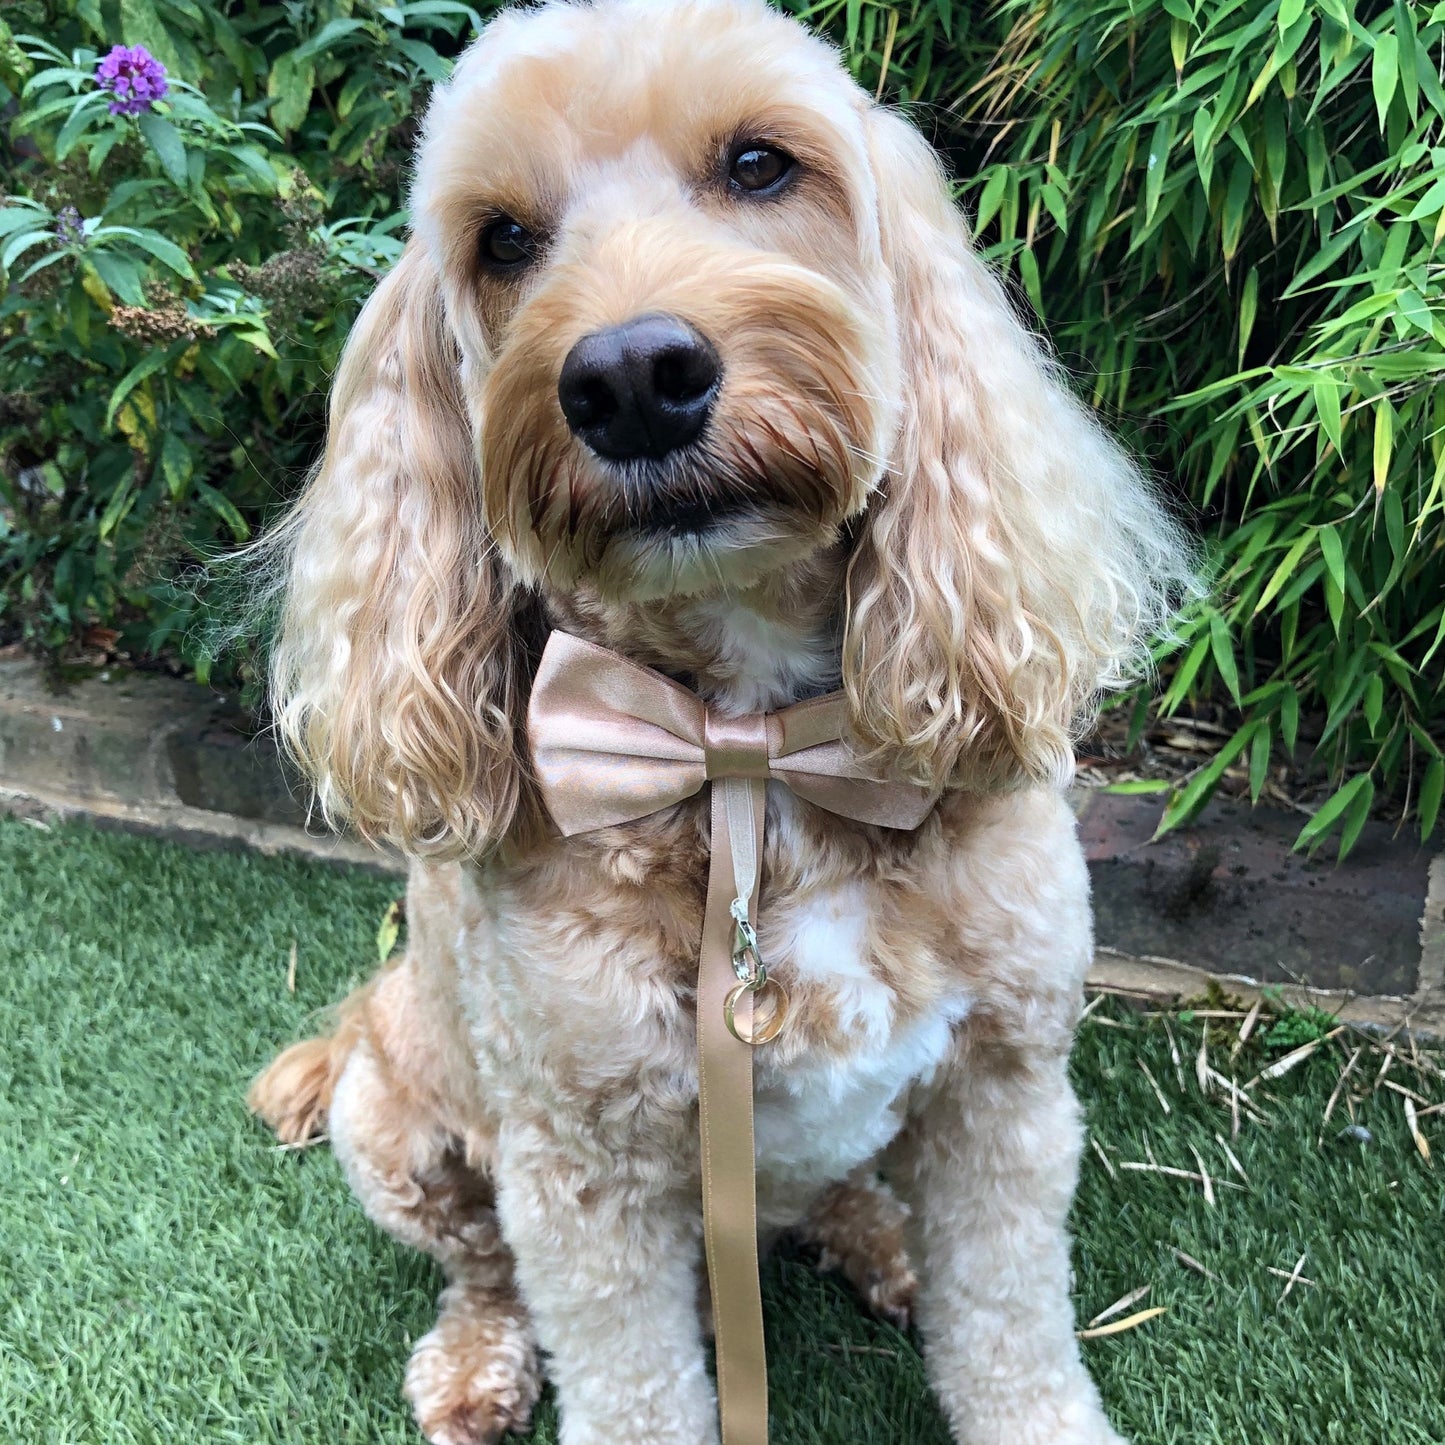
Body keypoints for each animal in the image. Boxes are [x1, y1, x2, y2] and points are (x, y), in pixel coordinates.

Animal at [251, 2, 1196, 1445]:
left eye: (758, 165)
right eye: (502, 239)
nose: (632, 375)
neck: (751, 746)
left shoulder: (1005, 1090)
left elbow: (1010, 1332)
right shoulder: (583, 1165)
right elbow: (632, 1381)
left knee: (844, 1194)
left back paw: (882, 1240)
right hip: (399, 1123)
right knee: (483, 1266)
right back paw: (477, 1363)